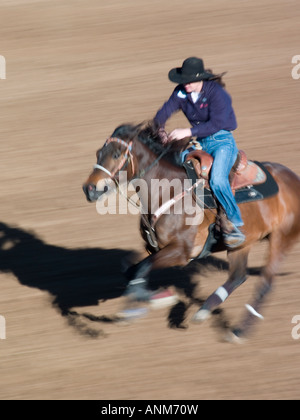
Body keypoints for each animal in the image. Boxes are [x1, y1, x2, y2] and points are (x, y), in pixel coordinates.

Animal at [82, 121, 300, 342]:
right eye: (98, 153)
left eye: (116, 154)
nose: (89, 189)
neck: (165, 191)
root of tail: (294, 179)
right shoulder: (153, 246)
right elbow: (129, 268)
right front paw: (151, 300)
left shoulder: (180, 251)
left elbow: (142, 268)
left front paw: (145, 304)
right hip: (242, 244)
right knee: (238, 276)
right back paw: (205, 310)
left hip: (281, 239)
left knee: (266, 283)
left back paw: (239, 330)